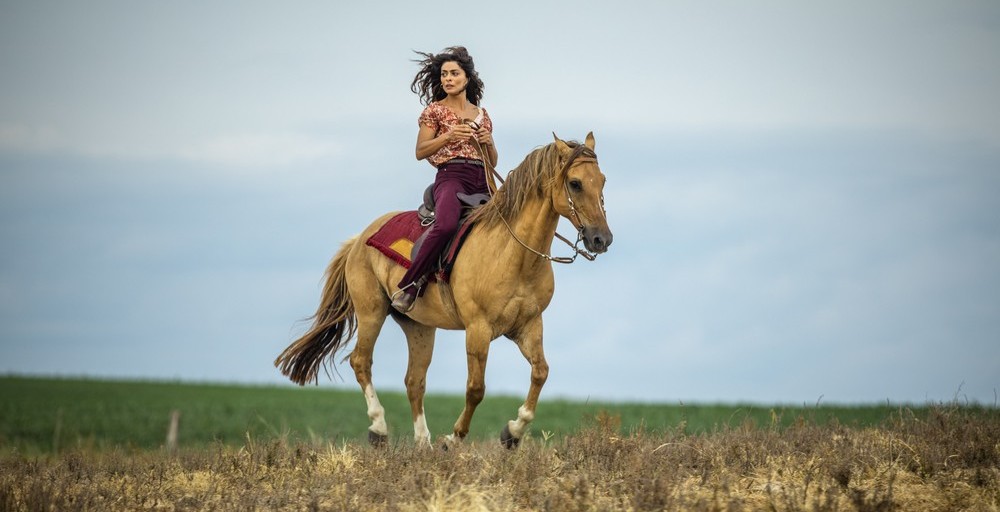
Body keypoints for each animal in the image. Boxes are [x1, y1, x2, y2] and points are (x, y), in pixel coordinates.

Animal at [278, 132, 612, 448]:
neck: (513, 254)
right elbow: (476, 389)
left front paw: (513, 433)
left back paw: (423, 443)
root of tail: (359, 238)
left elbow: (540, 373)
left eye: (603, 180)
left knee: (414, 381)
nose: (601, 239)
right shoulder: (478, 329)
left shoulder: (528, 325)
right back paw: (380, 429)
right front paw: (453, 439)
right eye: (575, 183)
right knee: (361, 361)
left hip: (419, 327)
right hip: (371, 311)